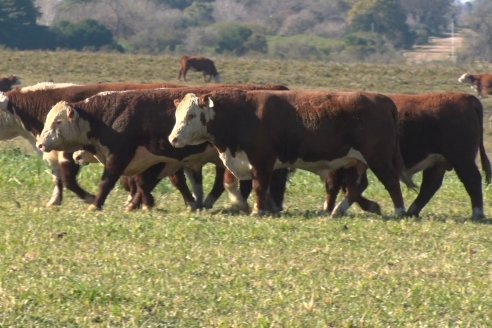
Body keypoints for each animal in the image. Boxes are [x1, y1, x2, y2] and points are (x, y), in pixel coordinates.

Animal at [168, 89, 412, 217]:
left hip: (378, 159)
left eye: (191, 115)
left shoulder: (262, 160)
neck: (240, 114)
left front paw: (257, 210)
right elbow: (233, 182)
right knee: (357, 187)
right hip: (356, 162)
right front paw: (248, 205)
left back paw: (400, 211)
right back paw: (337, 211)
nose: (173, 139)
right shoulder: (243, 158)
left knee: (391, 182)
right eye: (177, 114)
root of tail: (382, 99)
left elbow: (259, 187)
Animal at [324, 91, 490, 220]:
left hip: (462, 159)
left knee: (472, 180)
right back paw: (412, 211)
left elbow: (337, 185)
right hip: (439, 161)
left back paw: (477, 213)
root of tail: (466, 97)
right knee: (431, 185)